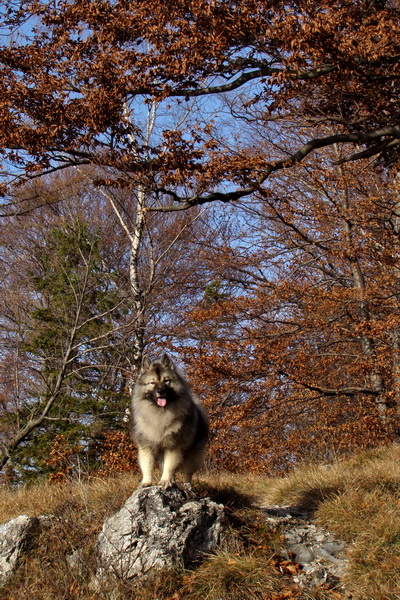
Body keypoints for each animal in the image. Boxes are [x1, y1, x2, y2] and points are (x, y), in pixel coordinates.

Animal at [130, 352, 209, 488]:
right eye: (152, 382)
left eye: (166, 381)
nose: (160, 391)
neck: (159, 413)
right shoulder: (146, 447)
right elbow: (147, 467)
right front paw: (146, 482)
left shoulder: (173, 447)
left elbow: (169, 467)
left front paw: (165, 481)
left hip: (192, 454)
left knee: (188, 473)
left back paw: (186, 486)